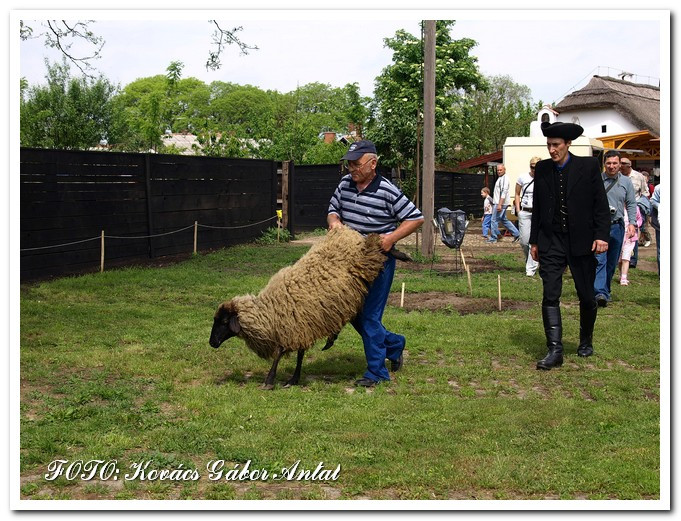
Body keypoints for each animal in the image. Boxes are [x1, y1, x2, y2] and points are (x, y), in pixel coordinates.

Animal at [207, 225, 388, 388]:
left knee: (375, 249)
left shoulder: (292, 326)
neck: (270, 309)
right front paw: (293, 379)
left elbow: (280, 353)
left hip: (364, 265)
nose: (211, 343)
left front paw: (270, 381)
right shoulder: (300, 326)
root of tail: (347, 230)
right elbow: (299, 353)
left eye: (224, 322)